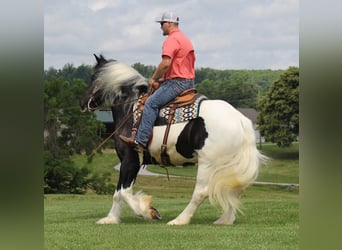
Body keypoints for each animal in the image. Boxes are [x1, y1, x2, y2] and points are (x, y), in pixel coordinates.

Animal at [80, 54, 268, 225]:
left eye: (93, 77)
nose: (83, 103)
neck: (130, 109)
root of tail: (240, 120)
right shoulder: (132, 162)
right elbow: (119, 192)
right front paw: (111, 218)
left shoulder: (129, 159)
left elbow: (123, 192)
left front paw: (148, 211)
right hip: (226, 165)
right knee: (232, 188)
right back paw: (225, 219)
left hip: (208, 164)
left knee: (201, 192)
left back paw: (180, 220)